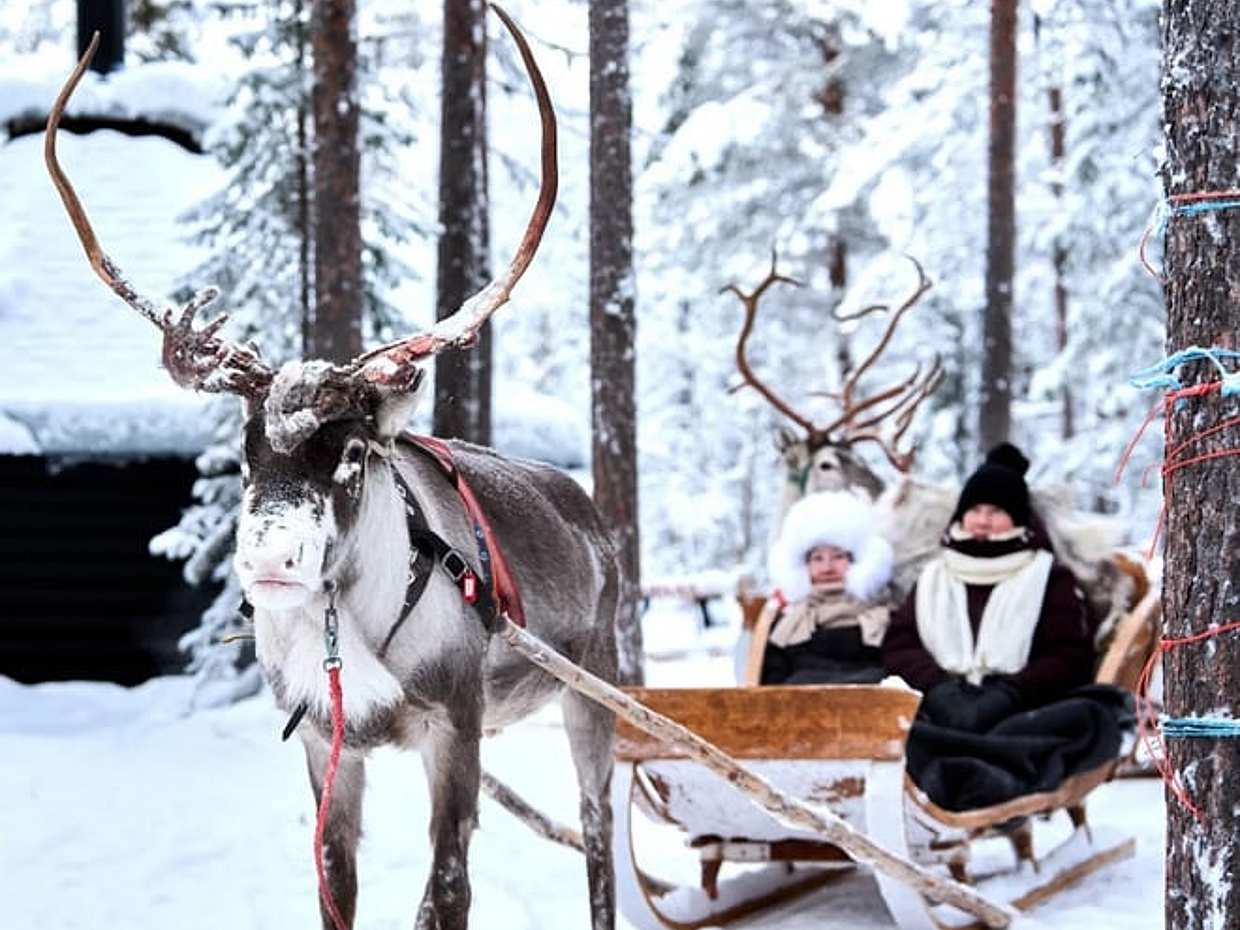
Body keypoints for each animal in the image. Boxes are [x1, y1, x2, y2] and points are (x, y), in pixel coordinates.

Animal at [46, 10, 616, 930]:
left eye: (352, 452)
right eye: (246, 451)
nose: (272, 559)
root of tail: (591, 512)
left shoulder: (454, 726)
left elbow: (448, 888)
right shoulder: (323, 739)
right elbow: (333, 883)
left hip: (595, 684)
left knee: (600, 832)